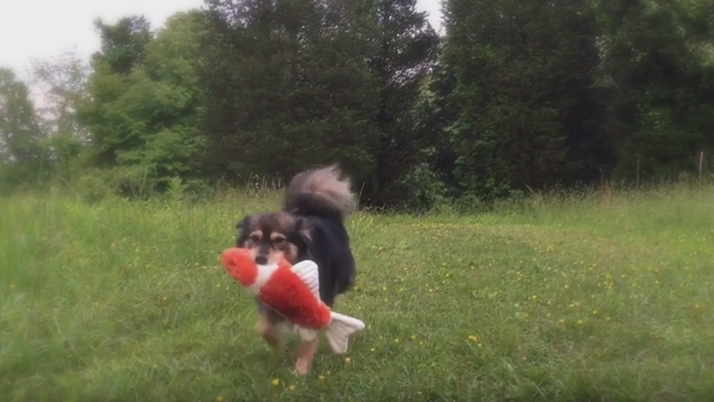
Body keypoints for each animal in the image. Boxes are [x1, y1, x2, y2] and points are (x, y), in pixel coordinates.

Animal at [234, 164, 356, 376]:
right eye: (254, 238)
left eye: (279, 240)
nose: (260, 259)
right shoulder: (269, 304)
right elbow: (264, 328)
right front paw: (278, 347)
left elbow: (308, 340)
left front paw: (301, 370)